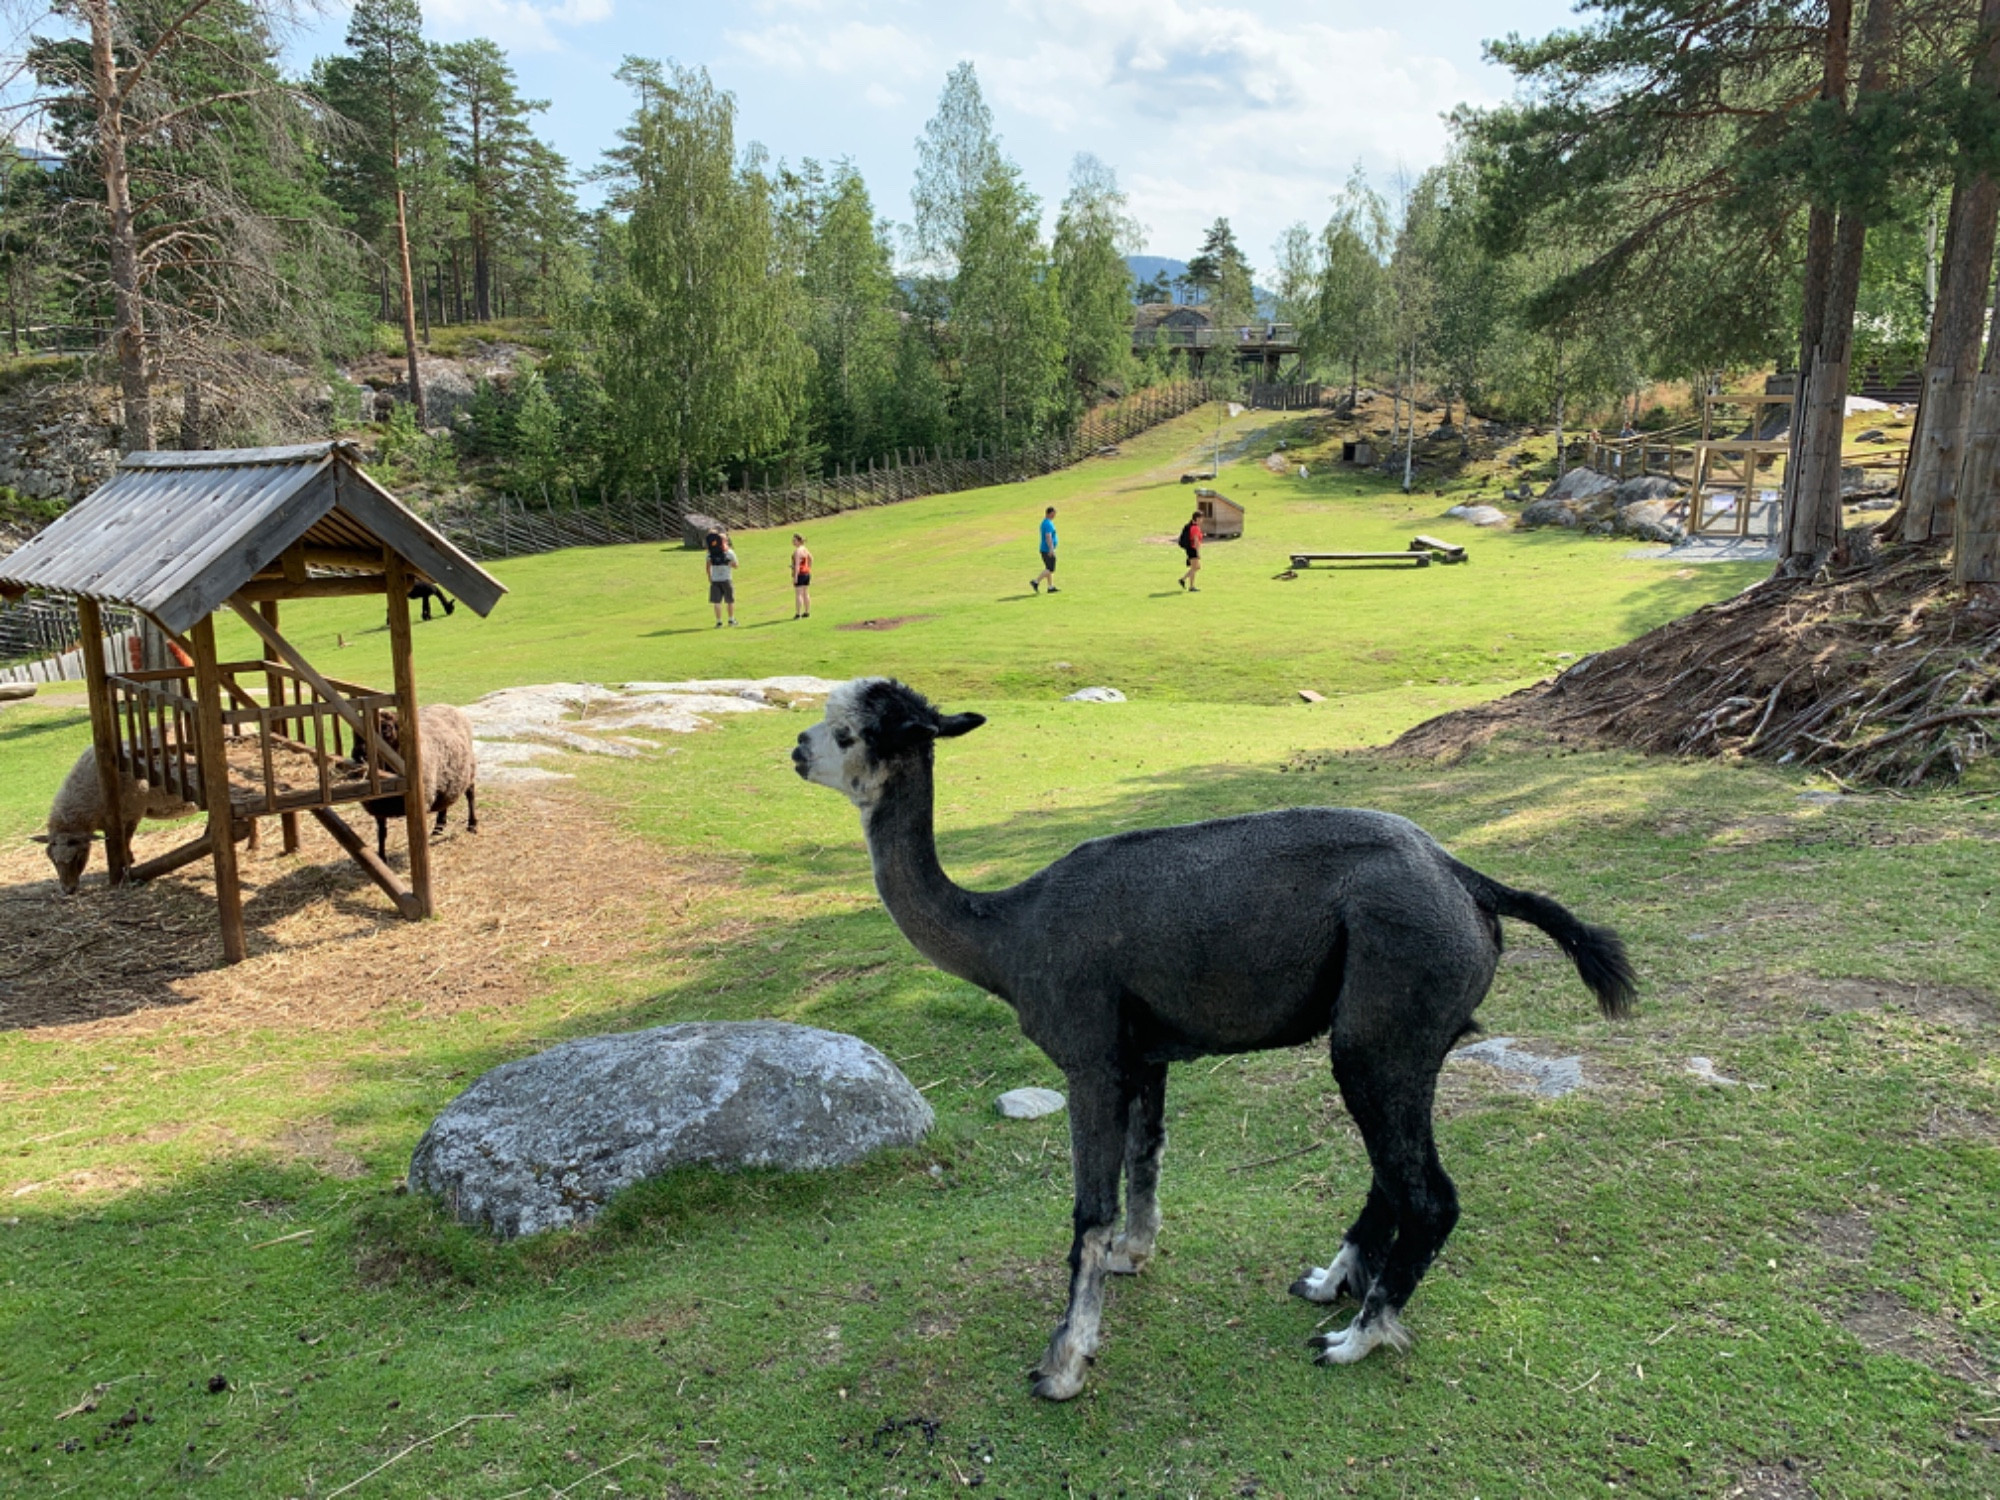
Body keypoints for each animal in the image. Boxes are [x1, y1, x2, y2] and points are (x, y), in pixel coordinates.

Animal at [35, 748, 198, 892]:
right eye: (52, 859)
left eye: (78, 856)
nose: (68, 890)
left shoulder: (131, 814)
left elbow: (126, 840)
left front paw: (127, 862)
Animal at [358, 704, 478, 856]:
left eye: (387, 728)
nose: (358, 755)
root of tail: (447, 705)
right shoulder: (378, 807)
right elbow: (381, 833)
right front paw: (381, 856)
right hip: (447, 776)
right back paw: (439, 826)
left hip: (469, 771)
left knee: (470, 795)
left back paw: (472, 824)